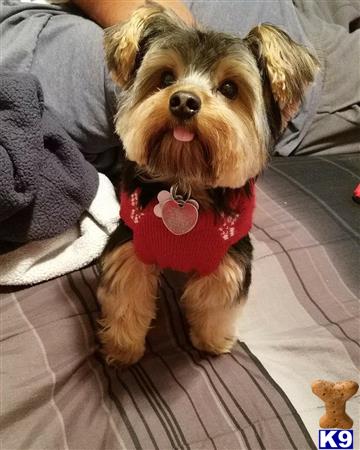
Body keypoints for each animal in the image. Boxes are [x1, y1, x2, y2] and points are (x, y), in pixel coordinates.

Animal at [96, 2, 318, 366]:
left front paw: (212, 340)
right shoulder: (130, 245)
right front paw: (123, 348)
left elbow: (216, 301)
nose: (184, 101)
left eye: (229, 88)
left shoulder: (228, 256)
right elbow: (127, 295)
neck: (186, 183)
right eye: (166, 78)